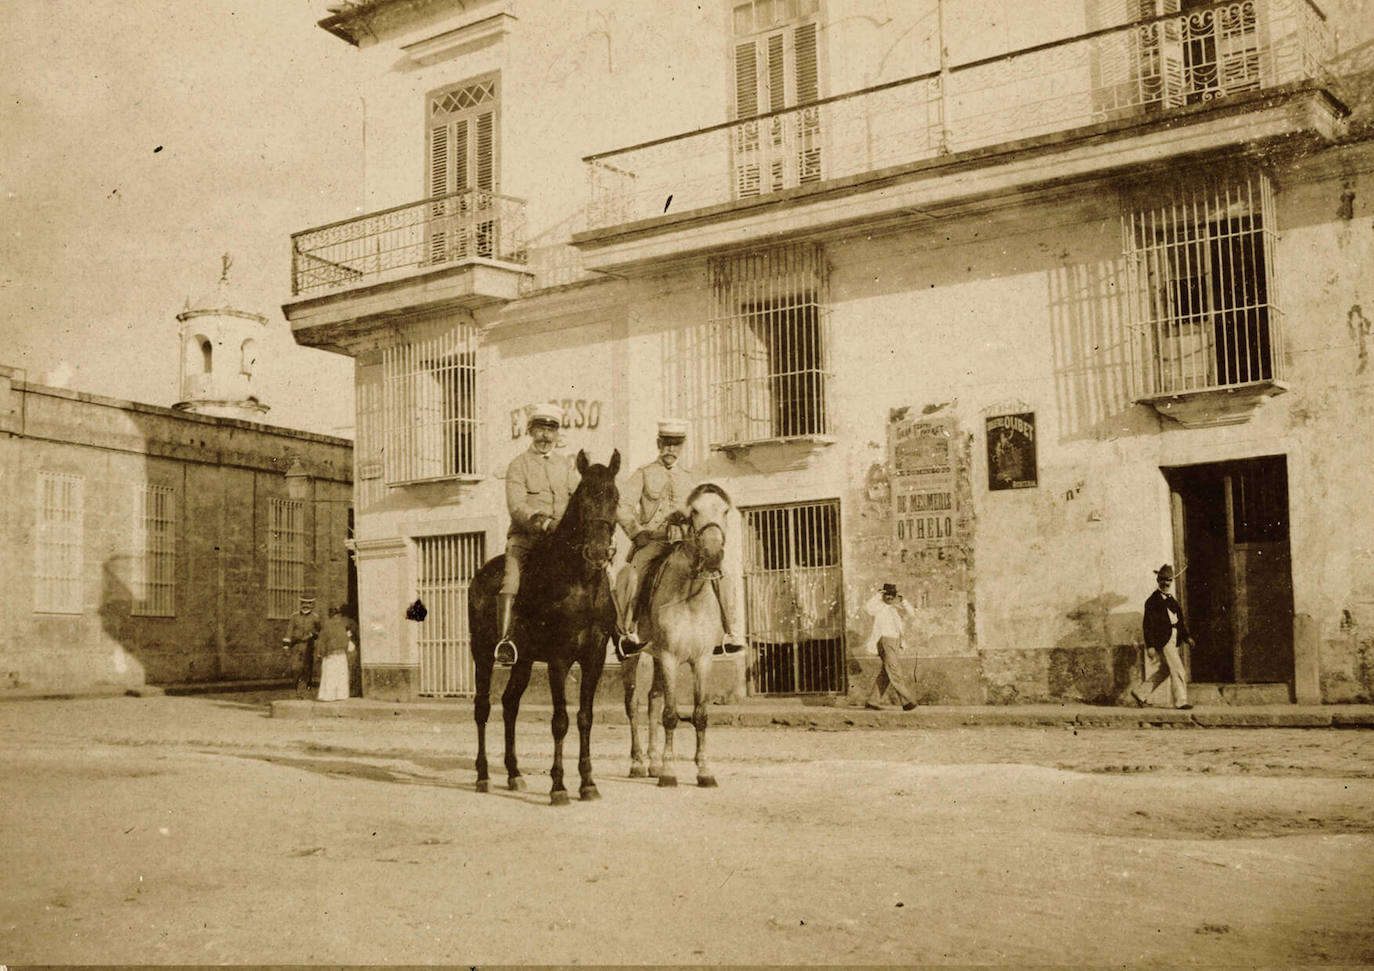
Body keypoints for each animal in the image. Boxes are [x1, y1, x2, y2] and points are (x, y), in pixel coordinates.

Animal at [472, 453, 623, 807]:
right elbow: (560, 720)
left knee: (510, 704)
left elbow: (585, 717)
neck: (581, 582)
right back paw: (483, 776)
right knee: (483, 708)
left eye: (615, 498)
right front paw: (559, 787)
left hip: (523, 661)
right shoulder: (559, 659)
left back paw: (514, 774)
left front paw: (588, 783)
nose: (598, 553)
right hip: (481, 654)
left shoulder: (594, 657)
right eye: (582, 499)